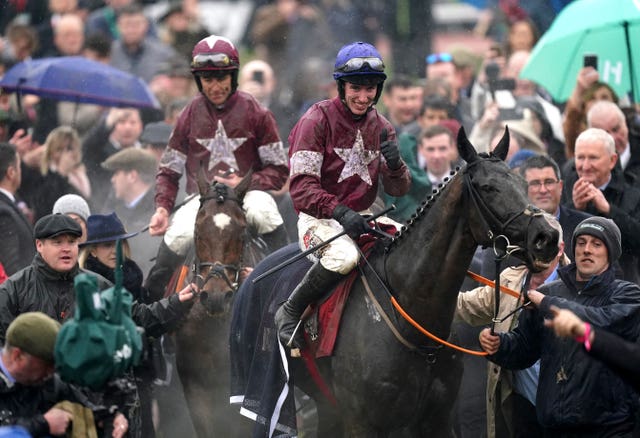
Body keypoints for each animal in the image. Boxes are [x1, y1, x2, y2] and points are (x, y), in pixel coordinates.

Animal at [230, 128, 560, 436]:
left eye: (523, 184)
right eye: (488, 187)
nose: (547, 237)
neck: (411, 315)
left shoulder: (436, 418)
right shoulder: (363, 422)